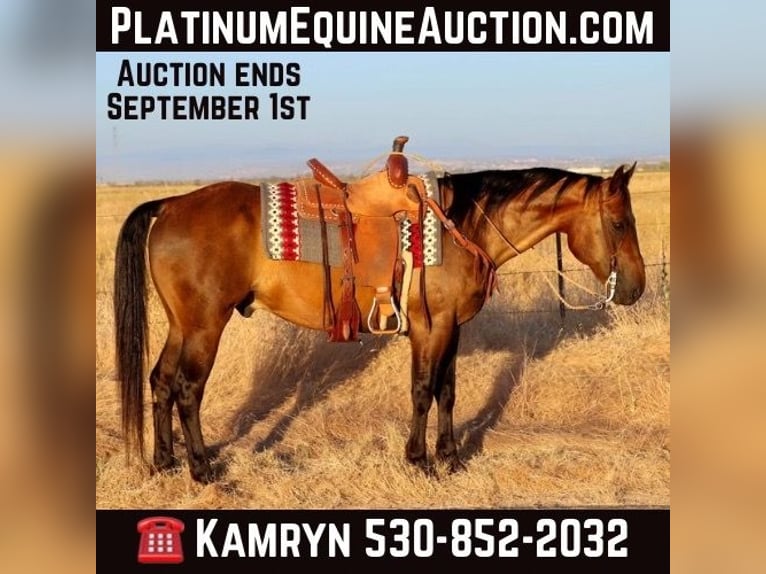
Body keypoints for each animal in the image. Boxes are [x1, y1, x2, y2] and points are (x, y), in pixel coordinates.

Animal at [113, 161, 645, 483]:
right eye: (620, 223)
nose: (636, 288)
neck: (461, 227)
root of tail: (171, 204)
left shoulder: (452, 328)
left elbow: (447, 391)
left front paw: (450, 458)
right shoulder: (432, 327)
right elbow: (423, 390)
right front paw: (420, 461)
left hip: (182, 325)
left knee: (160, 381)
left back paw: (164, 462)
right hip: (205, 325)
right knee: (187, 388)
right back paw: (202, 469)